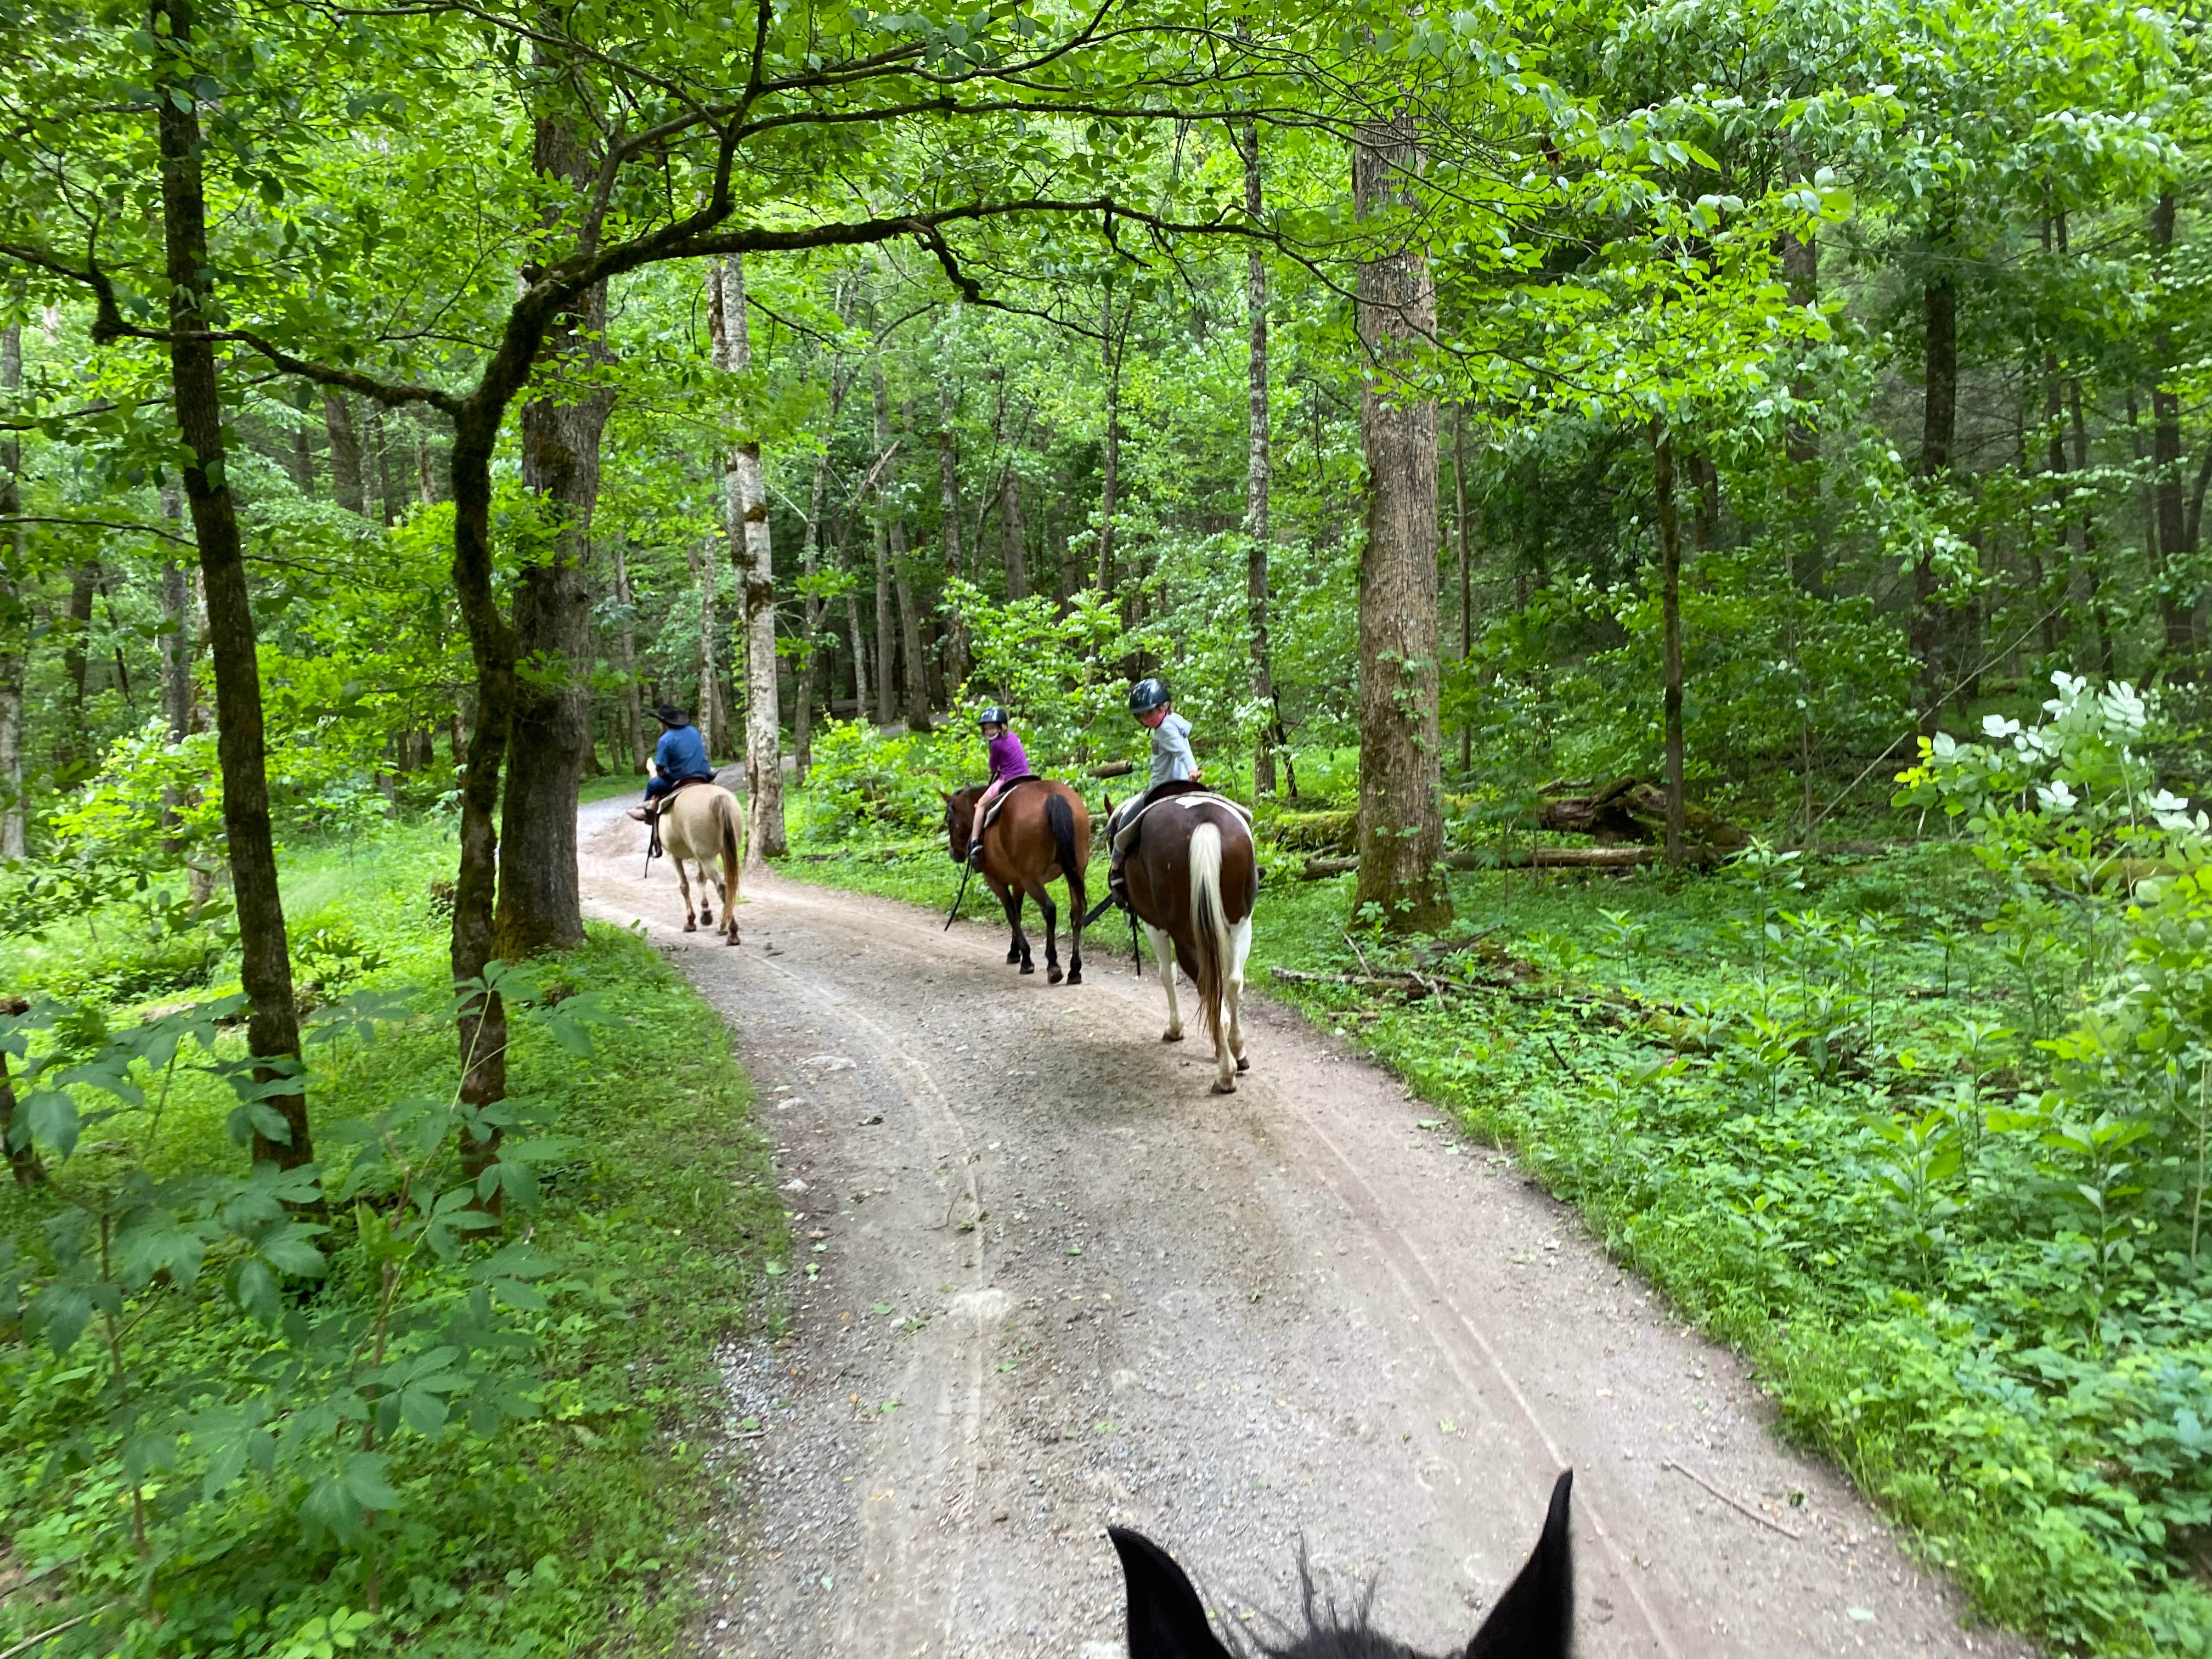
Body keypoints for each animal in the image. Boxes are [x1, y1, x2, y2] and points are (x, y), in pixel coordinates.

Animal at [654, 781, 745, 944]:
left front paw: (691, 922)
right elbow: (701, 879)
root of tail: (718, 798)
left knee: (722, 886)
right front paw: (706, 914)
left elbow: (684, 886)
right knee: (729, 885)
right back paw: (723, 925)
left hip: (707, 857)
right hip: (724, 853)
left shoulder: (674, 857)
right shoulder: (699, 857)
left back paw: (732, 933)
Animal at [942, 780, 1090, 984]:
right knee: (1077, 912)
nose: (953, 853)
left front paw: (1025, 959)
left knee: (1049, 909)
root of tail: (1053, 796)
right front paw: (1015, 953)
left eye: (949, 821)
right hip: (1075, 871)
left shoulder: (996, 881)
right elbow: (1018, 914)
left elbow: (1012, 915)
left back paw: (1053, 965)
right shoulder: (1018, 883)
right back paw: (1075, 969)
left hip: (1032, 878)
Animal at [1108, 784, 1257, 1093]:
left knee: (1207, 983)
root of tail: (1204, 820)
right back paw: (1238, 1053)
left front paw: (1175, 1029)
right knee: (1232, 982)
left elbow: (1167, 975)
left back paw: (1226, 1072)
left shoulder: (1155, 926)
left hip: (1184, 934)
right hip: (1240, 923)